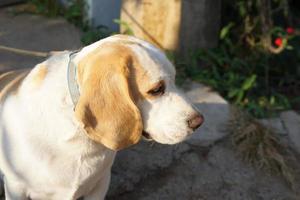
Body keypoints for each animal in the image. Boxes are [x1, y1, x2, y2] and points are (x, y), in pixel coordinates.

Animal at [0, 35, 204, 199]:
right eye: (156, 90)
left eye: (175, 80)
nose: (199, 121)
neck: (79, 137)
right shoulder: (16, 188)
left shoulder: (100, 184)